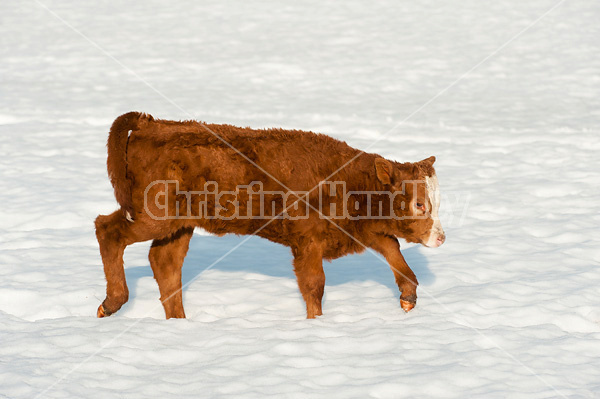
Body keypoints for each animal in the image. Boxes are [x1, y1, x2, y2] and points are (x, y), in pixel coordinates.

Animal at [96, 114, 442, 320]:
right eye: (419, 204)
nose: (440, 237)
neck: (354, 182)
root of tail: (150, 123)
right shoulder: (308, 243)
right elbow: (314, 285)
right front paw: (316, 324)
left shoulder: (363, 231)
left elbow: (395, 253)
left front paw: (408, 298)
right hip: (152, 216)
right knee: (108, 230)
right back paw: (111, 303)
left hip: (180, 225)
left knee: (165, 262)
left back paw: (179, 322)